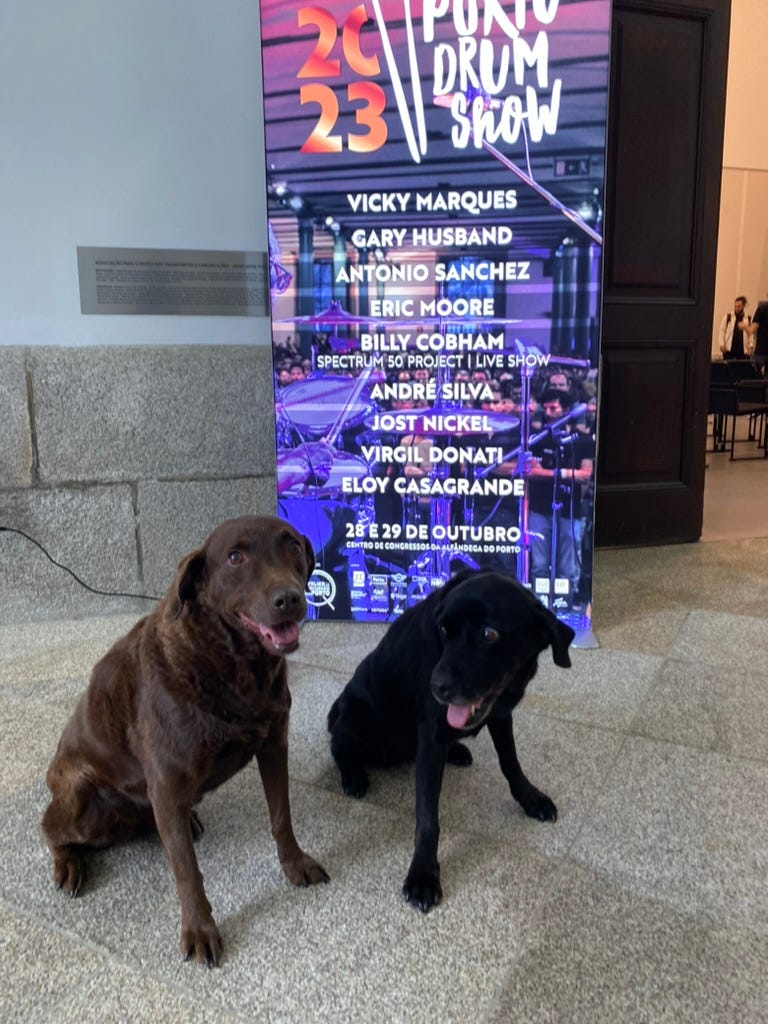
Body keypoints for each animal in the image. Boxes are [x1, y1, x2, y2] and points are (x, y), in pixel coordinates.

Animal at [40, 516, 327, 962]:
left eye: (293, 546)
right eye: (235, 557)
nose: (289, 599)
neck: (232, 665)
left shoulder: (273, 746)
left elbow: (282, 817)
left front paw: (294, 864)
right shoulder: (167, 783)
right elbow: (187, 871)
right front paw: (199, 929)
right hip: (81, 797)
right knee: (50, 827)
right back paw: (68, 863)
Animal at [327, 569, 573, 913]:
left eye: (489, 634)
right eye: (444, 630)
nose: (437, 687)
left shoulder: (500, 715)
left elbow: (511, 763)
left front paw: (530, 798)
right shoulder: (432, 736)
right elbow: (428, 819)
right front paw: (423, 875)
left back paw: (456, 750)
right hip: (357, 717)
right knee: (337, 745)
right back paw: (352, 775)